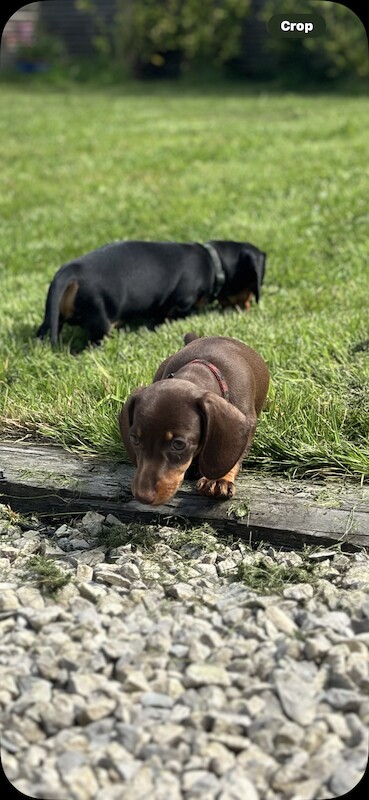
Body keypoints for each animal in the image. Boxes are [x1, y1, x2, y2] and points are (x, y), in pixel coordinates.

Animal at [36, 241, 264, 346]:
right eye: (253, 283)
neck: (213, 262)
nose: (248, 309)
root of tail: (71, 270)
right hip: (99, 320)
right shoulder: (183, 302)